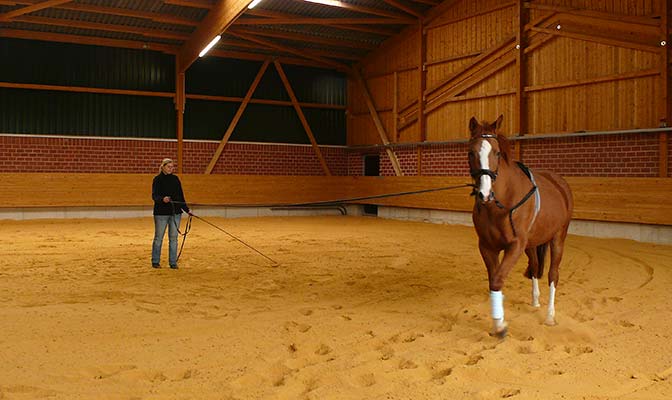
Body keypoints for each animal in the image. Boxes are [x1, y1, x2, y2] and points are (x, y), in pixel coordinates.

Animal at [468, 115, 572, 338]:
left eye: (497, 152)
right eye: (471, 152)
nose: (484, 194)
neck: (500, 204)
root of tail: (559, 182)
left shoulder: (514, 245)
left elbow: (498, 280)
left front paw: (500, 326)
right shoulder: (487, 247)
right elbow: (494, 280)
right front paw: (498, 320)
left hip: (558, 238)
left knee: (553, 274)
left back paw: (550, 316)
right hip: (531, 244)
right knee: (534, 265)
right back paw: (535, 301)